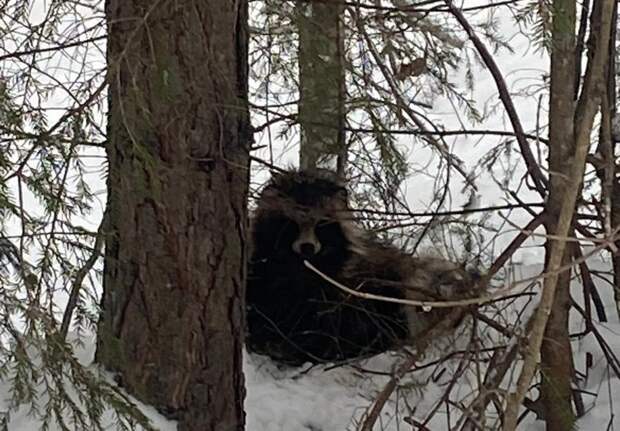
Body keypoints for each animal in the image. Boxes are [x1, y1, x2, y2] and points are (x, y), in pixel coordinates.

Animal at [246, 169, 470, 364]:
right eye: (291, 224)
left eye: (321, 225)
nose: (307, 247)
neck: (300, 266)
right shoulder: (264, 272)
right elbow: (265, 300)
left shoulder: (337, 282)